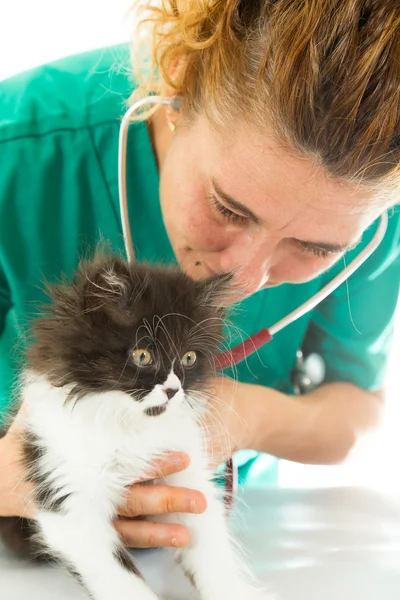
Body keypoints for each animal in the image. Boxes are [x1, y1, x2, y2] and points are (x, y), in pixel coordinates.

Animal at [0, 254, 274, 600]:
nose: (172, 390)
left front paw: (231, 591)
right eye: (142, 355)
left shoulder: (185, 474)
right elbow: (118, 575)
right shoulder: (68, 487)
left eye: (188, 358)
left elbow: (209, 543)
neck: (131, 424)